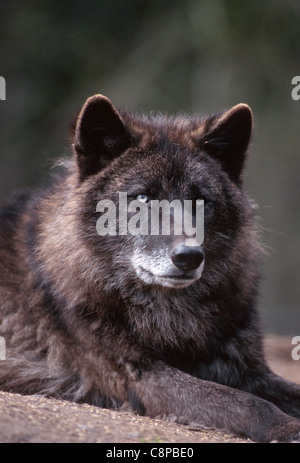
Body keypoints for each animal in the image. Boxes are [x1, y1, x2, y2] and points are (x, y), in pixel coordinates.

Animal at [0, 93, 300, 442]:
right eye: (142, 198)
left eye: (201, 201)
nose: (189, 256)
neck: (170, 315)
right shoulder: (143, 376)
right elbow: (246, 403)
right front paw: (288, 427)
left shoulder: (246, 369)